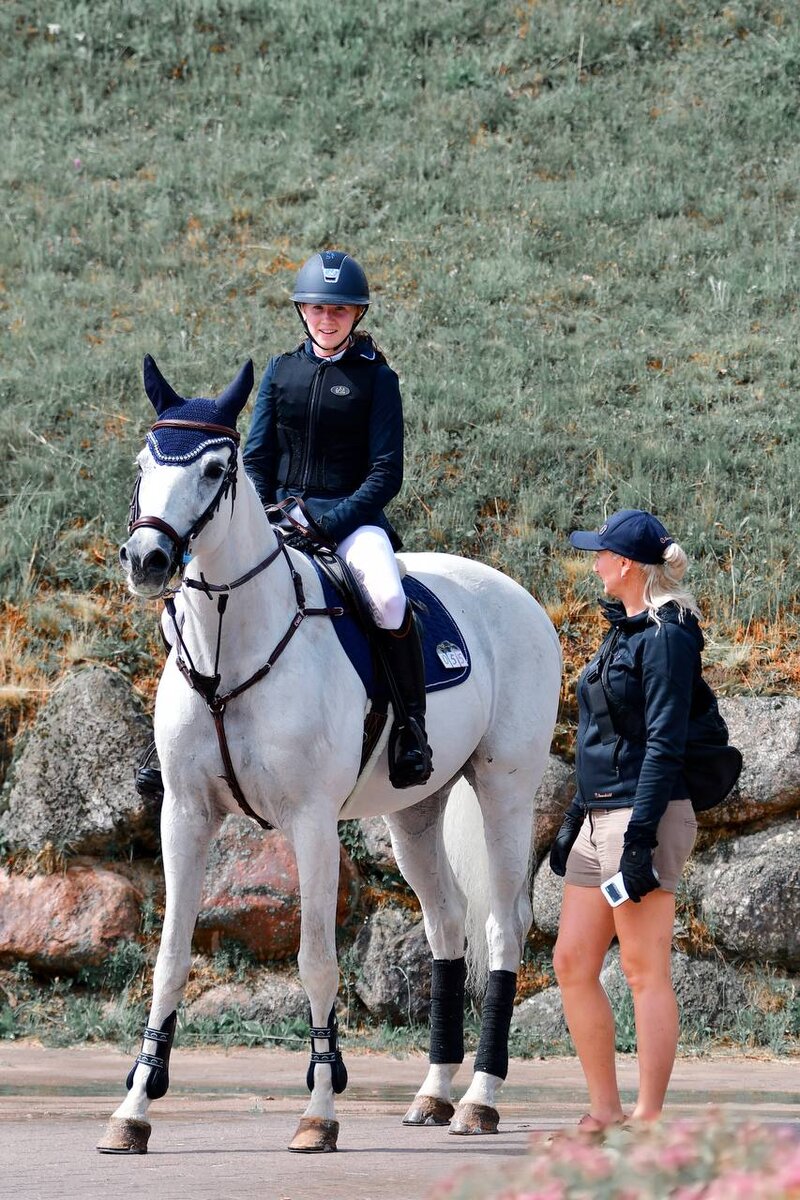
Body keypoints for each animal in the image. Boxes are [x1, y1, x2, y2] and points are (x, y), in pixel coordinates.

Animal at [98, 355, 563, 1152]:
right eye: (142, 463)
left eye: (215, 467)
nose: (148, 558)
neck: (233, 640)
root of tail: (519, 596)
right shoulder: (185, 815)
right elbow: (169, 960)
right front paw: (134, 1109)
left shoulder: (311, 822)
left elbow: (316, 961)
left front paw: (319, 1111)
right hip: (415, 812)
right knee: (446, 925)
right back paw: (433, 1093)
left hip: (505, 790)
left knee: (503, 926)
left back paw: (478, 1099)